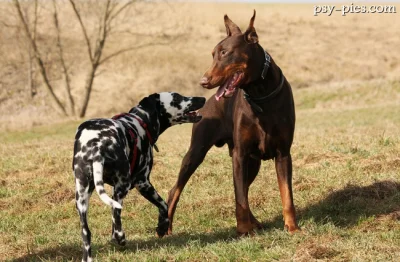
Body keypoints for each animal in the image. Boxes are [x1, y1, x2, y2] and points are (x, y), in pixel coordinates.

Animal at [72, 92, 205, 262]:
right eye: (176, 97)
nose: (202, 98)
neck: (141, 121)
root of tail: (96, 146)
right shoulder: (143, 183)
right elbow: (164, 205)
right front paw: (162, 227)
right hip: (122, 186)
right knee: (117, 218)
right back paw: (121, 238)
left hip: (82, 197)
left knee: (87, 232)